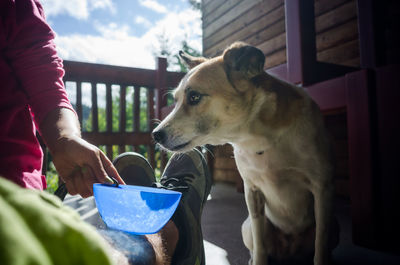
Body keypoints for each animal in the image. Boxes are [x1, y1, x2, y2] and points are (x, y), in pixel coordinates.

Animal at [152, 42, 340, 262]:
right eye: (176, 99)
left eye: (194, 97)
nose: (155, 135)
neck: (260, 140)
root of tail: (290, 250)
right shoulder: (252, 193)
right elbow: (260, 247)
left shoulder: (323, 190)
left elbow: (320, 247)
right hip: (249, 226)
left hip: (334, 227)